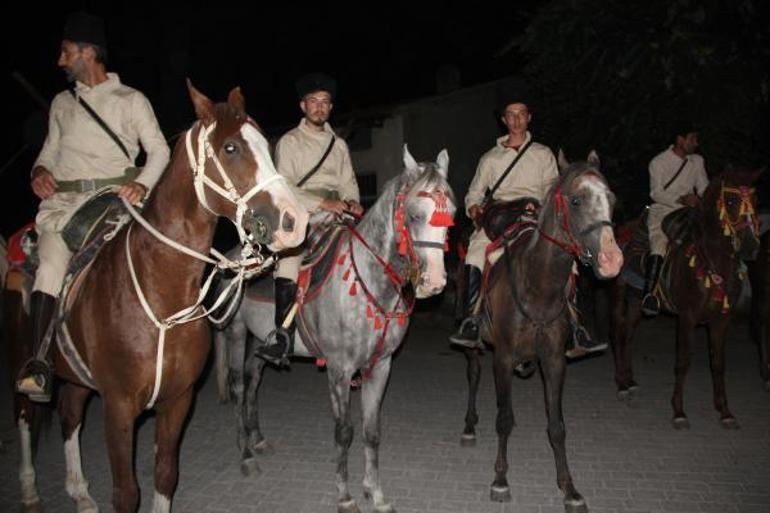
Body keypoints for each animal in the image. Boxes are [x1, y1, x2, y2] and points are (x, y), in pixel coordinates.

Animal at [8, 84, 308, 512]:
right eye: (231, 148)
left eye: (266, 145)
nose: (294, 221)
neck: (162, 293)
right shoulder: (118, 406)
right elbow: (126, 492)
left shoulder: (177, 400)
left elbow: (165, 475)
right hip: (21, 362)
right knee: (24, 415)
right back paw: (31, 488)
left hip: (77, 377)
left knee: (69, 415)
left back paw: (80, 492)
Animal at [213, 145, 452, 512]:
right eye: (414, 216)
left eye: (451, 215)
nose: (435, 282)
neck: (368, 279)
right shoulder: (339, 371)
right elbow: (344, 432)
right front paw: (345, 496)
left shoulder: (380, 367)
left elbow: (371, 431)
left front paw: (375, 493)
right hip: (236, 333)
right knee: (240, 388)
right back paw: (245, 454)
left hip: (261, 341)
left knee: (253, 384)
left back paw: (258, 440)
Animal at [460, 154, 620, 512]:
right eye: (576, 201)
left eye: (611, 199)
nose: (612, 260)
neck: (538, 286)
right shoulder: (503, 358)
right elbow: (503, 419)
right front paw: (501, 479)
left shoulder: (554, 360)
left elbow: (557, 427)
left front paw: (569, 488)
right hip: (475, 348)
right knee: (473, 377)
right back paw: (469, 427)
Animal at [608, 165, 760, 428]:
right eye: (731, 200)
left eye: (755, 200)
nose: (751, 246)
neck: (710, 260)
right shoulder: (687, 318)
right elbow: (682, 363)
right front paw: (679, 412)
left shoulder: (722, 319)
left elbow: (718, 364)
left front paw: (725, 411)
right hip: (620, 295)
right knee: (619, 333)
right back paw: (621, 385)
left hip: (637, 302)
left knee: (628, 335)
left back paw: (630, 380)